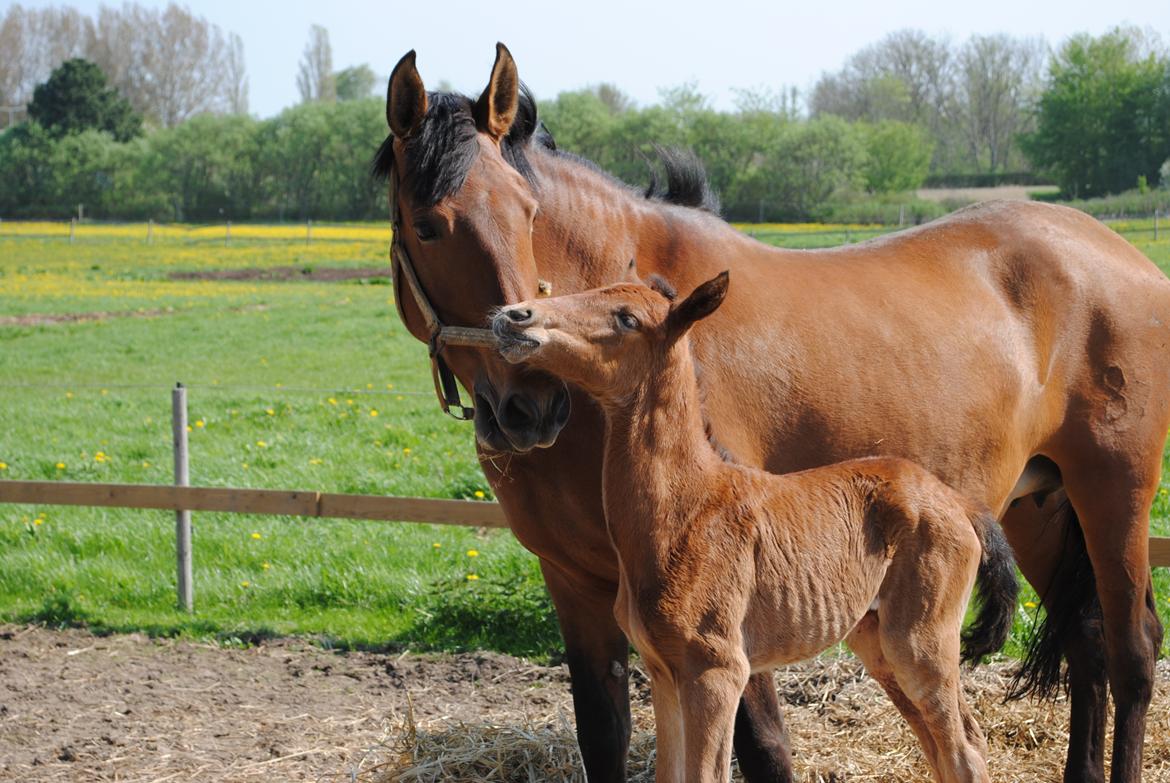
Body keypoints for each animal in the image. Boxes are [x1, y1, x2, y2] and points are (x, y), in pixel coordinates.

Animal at [489, 271, 1020, 777]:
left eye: (626, 319)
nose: (515, 316)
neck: (685, 511)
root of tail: (960, 504)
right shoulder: (662, 671)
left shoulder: (716, 671)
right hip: (876, 641)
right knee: (948, 743)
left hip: (919, 642)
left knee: (963, 751)